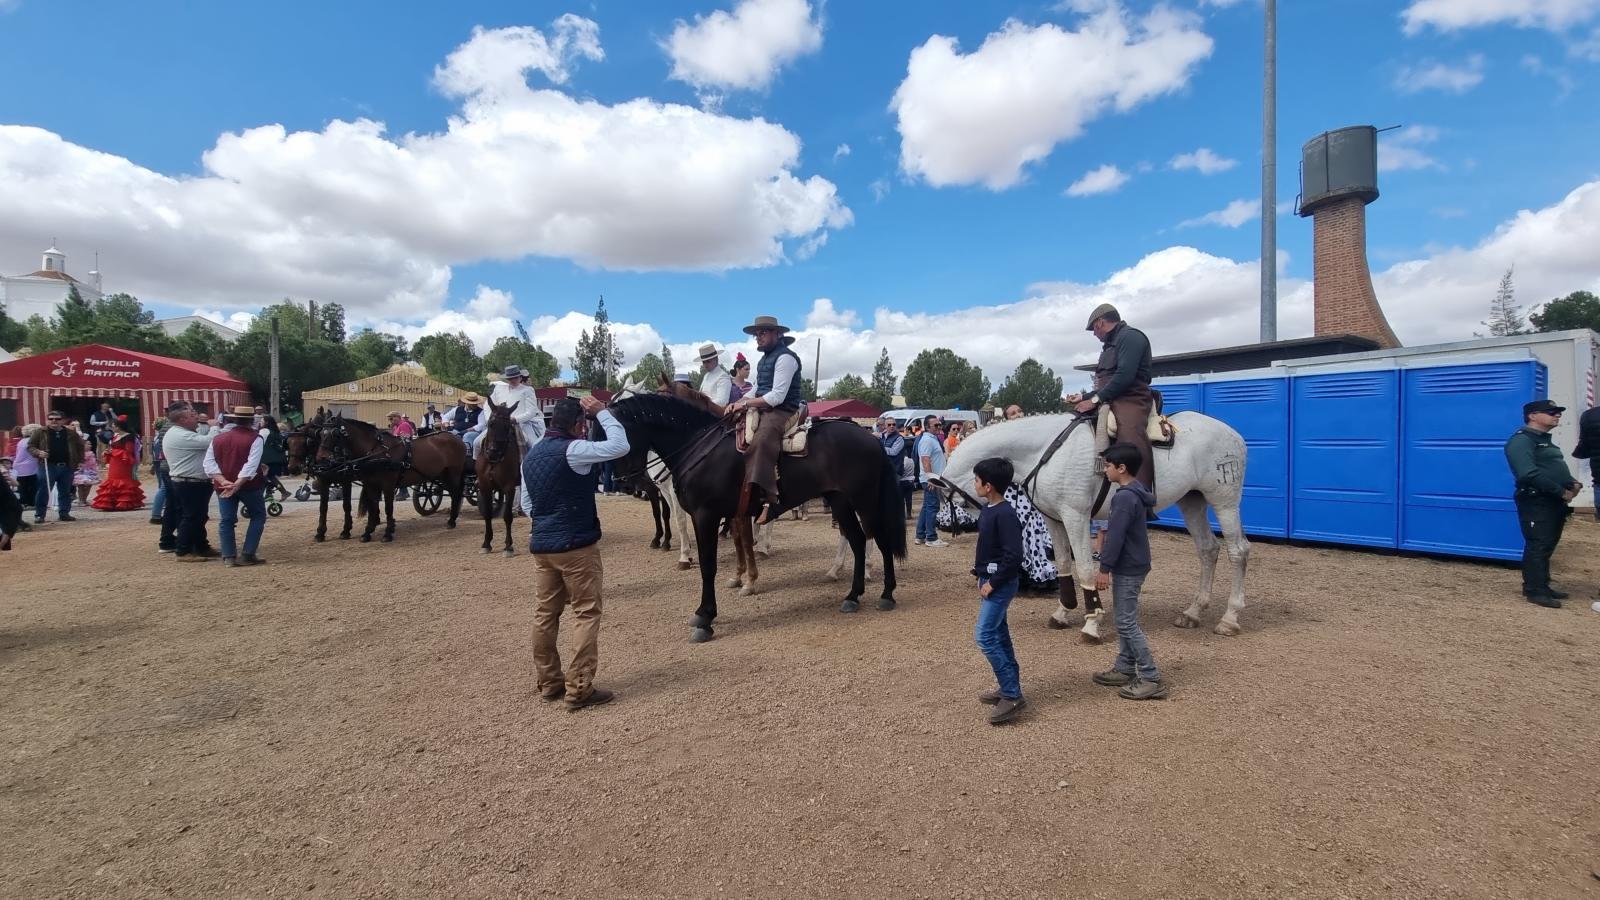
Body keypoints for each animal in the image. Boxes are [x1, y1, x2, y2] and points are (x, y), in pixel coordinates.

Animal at [308, 413, 467, 538]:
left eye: (335, 434)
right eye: (320, 434)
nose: (321, 459)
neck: (376, 452)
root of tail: (455, 438)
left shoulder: (388, 485)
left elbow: (388, 508)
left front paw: (388, 533)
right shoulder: (370, 484)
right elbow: (373, 506)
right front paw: (368, 532)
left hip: (454, 473)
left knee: (456, 494)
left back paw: (452, 521)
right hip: (442, 475)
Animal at [473, 398, 524, 554]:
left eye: (507, 426)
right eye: (491, 424)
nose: (493, 452)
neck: (493, 461)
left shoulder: (509, 487)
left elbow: (507, 516)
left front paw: (508, 546)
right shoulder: (485, 487)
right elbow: (487, 514)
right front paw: (486, 543)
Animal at [601, 390, 908, 637]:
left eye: (613, 432)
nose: (626, 484)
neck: (701, 448)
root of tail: (872, 438)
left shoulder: (706, 516)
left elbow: (709, 565)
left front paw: (706, 616)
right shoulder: (726, 515)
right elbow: (737, 546)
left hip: (864, 502)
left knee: (879, 541)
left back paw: (886, 593)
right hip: (840, 501)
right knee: (856, 540)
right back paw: (853, 595)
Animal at [934, 413, 1254, 637]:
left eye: (956, 501)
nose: (943, 525)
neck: (1046, 452)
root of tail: (1234, 434)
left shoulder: (1075, 516)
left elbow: (1086, 568)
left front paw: (1092, 621)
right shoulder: (1054, 519)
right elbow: (1064, 563)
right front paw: (1063, 612)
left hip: (1224, 502)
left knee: (1237, 551)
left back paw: (1230, 618)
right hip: (1192, 501)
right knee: (1208, 550)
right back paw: (1193, 612)